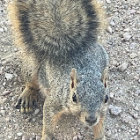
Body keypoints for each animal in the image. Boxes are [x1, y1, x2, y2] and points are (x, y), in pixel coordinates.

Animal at [7, 0, 109, 140]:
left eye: (106, 98)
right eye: (74, 97)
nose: (91, 119)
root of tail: (66, 47)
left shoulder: (102, 111)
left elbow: (100, 124)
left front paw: (100, 136)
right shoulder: (54, 101)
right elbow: (48, 118)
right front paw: (47, 136)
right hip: (31, 66)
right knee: (31, 82)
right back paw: (28, 95)